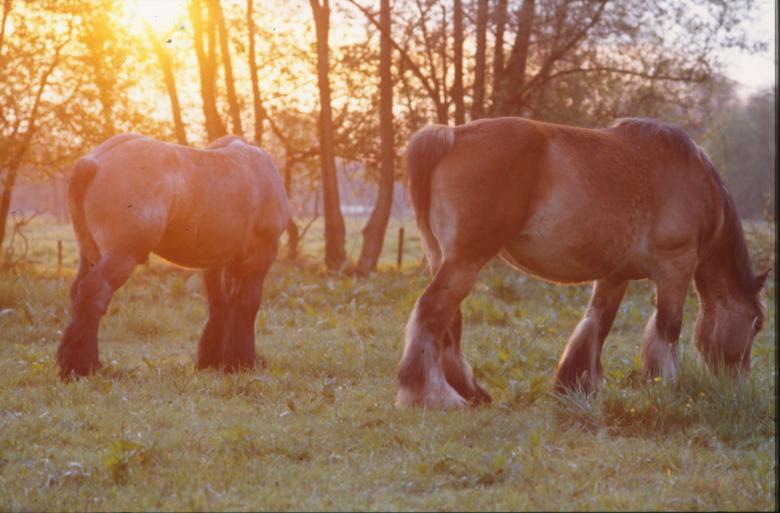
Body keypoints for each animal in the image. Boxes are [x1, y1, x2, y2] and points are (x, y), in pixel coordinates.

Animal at [57, 133, 290, 379]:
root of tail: (95, 161)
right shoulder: (260, 255)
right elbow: (247, 303)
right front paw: (242, 361)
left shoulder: (216, 262)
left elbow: (219, 303)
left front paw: (213, 360)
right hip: (120, 257)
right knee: (94, 294)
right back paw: (81, 366)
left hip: (90, 254)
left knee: (78, 293)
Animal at [398, 117, 769, 408]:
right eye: (757, 324)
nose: (737, 388)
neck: (696, 181)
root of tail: (452, 135)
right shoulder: (675, 269)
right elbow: (668, 330)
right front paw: (668, 387)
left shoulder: (615, 275)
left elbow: (596, 325)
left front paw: (575, 386)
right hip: (465, 262)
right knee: (431, 313)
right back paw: (435, 395)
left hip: (445, 260)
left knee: (447, 326)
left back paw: (470, 391)